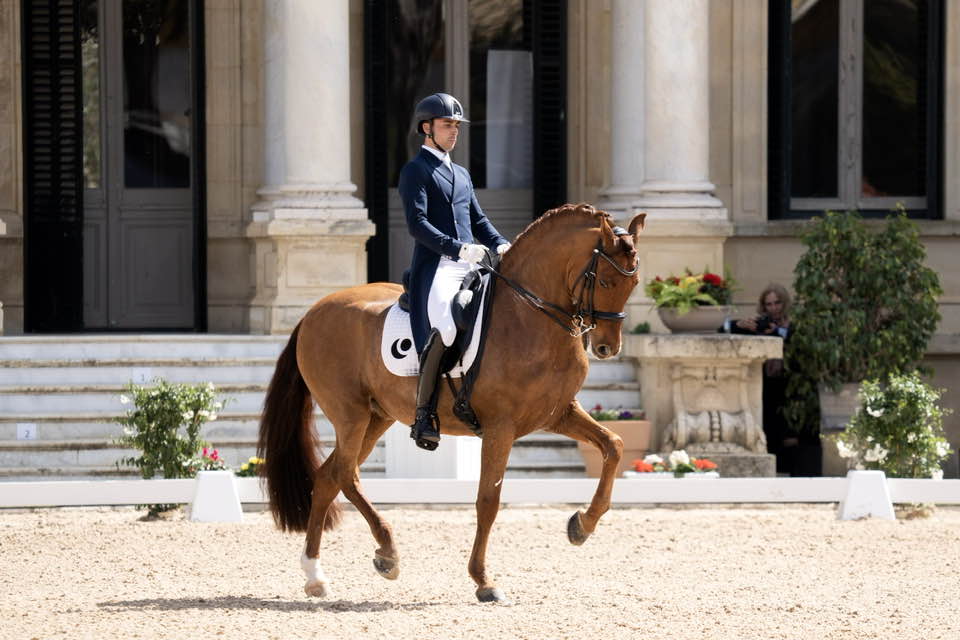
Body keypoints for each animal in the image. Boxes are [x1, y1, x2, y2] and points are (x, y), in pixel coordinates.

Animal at [256, 202, 644, 604]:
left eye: (634, 284)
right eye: (605, 282)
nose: (607, 348)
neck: (529, 317)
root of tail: (314, 310)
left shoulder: (558, 414)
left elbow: (614, 446)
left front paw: (582, 525)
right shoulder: (500, 427)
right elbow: (488, 501)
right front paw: (484, 581)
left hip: (376, 418)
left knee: (328, 476)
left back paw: (315, 576)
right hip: (351, 414)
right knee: (347, 475)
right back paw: (387, 553)